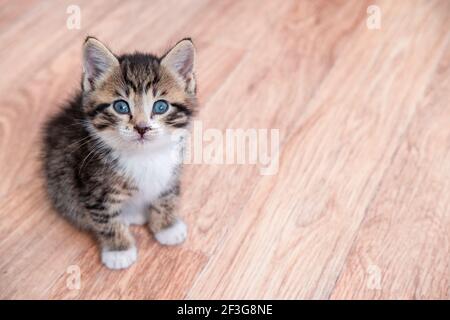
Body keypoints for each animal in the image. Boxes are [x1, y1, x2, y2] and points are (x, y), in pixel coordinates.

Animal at [42, 37, 197, 270]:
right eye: (121, 107)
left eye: (160, 106)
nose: (142, 128)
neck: (144, 155)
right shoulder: (93, 187)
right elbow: (106, 219)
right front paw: (119, 250)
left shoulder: (171, 172)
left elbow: (166, 196)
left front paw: (167, 226)